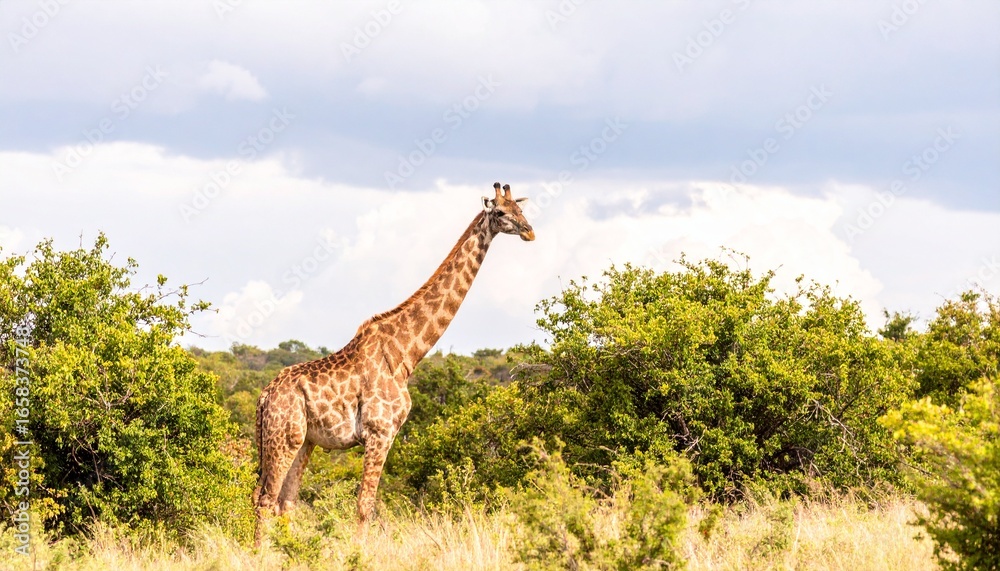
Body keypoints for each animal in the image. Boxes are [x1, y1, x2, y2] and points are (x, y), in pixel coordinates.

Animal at [252, 183, 534, 544]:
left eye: (521, 209)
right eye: (500, 212)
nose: (529, 232)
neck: (405, 354)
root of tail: (264, 397)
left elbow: (364, 505)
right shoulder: (380, 432)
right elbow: (365, 505)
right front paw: (358, 551)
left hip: (303, 441)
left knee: (284, 502)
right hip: (283, 437)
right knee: (265, 500)